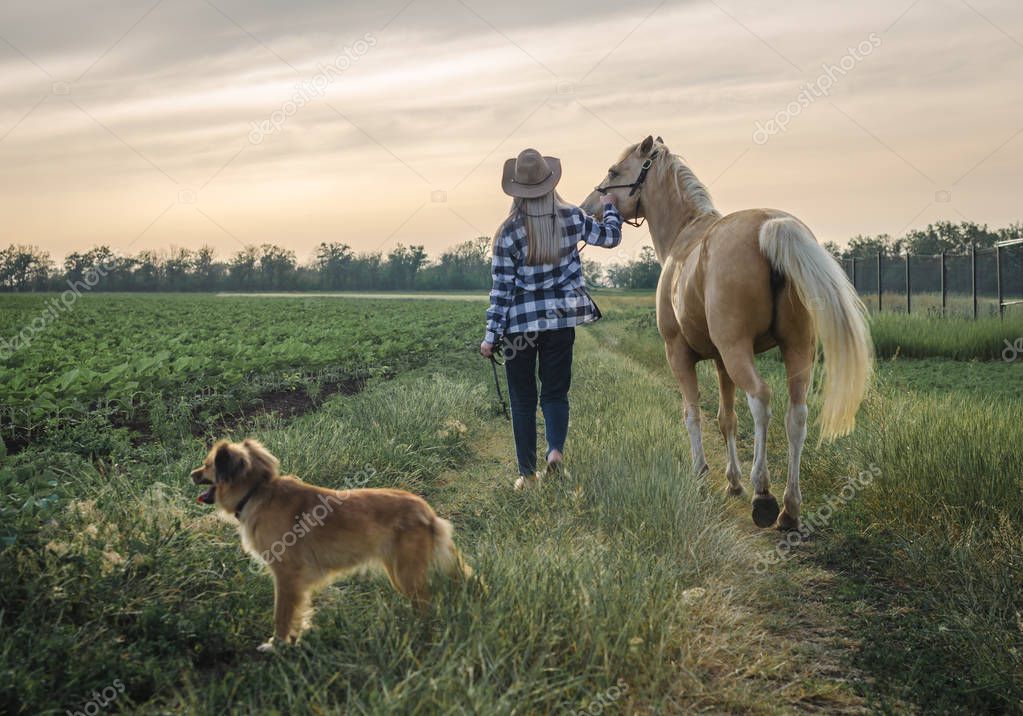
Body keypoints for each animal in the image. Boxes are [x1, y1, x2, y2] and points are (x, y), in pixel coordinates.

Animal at [191, 439, 470, 650]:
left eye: (207, 464)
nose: (191, 474)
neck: (258, 491)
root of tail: (427, 512)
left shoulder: (286, 575)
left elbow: (282, 613)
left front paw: (277, 644)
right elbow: (296, 612)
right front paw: (294, 637)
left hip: (406, 573)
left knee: (426, 604)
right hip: (399, 572)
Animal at [585, 136, 871, 531]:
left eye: (614, 172)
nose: (587, 209)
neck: (685, 235)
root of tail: (769, 227)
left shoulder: (680, 355)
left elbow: (692, 414)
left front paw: (702, 475)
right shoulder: (721, 362)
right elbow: (726, 419)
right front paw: (732, 481)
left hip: (740, 352)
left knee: (761, 400)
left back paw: (763, 494)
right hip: (797, 349)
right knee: (796, 415)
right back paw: (789, 508)